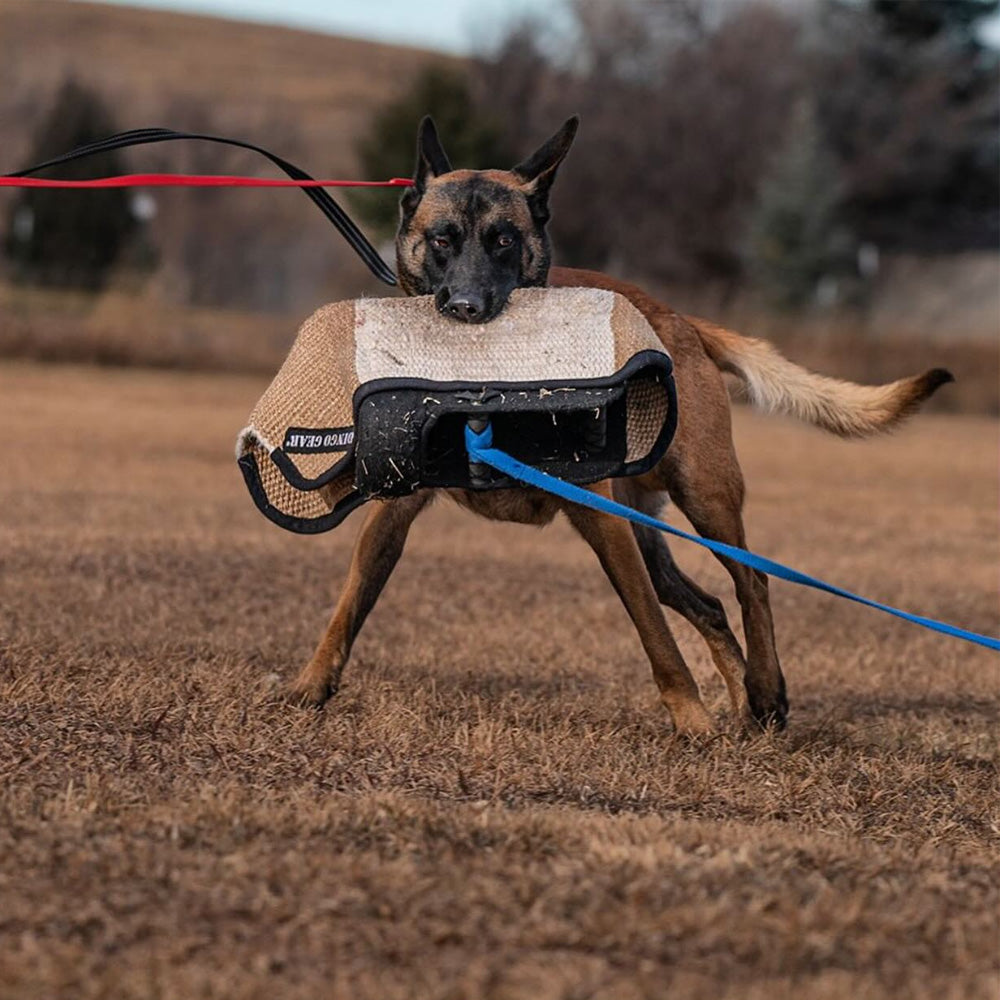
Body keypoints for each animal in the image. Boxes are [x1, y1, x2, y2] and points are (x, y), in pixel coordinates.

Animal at [288, 115, 952, 735]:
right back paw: (745, 709)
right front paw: (309, 687)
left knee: (751, 582)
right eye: (442, 240)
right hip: (647, 529)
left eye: (504, 241)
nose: (466, 310)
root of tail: (681, 320)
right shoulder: (394, 513)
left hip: (703, 496)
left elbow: (654, 634)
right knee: (708, 605)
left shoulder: (601, 519)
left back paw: (765, 691)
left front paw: (692, 722)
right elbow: (348, 606)